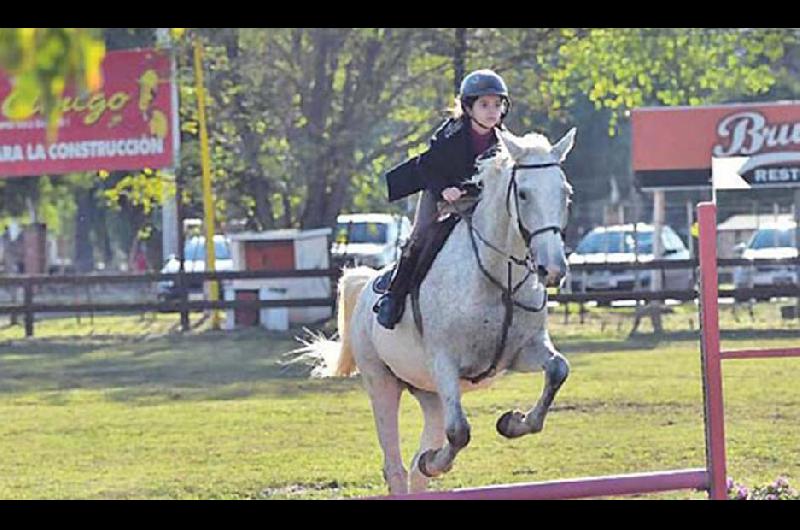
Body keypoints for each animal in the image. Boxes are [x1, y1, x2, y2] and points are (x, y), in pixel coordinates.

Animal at [306, 127, 576, 490]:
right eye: (523, 194)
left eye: (565, 193)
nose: (553, 269)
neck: (498, 277)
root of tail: (364, 288)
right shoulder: (444, 362)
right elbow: (459, 432)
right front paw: (436, 463)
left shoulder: (523, 352)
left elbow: (558, 369)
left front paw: (512, 422)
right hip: (382, 380)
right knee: (395, 465)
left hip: (428, 391)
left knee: (419, 456)